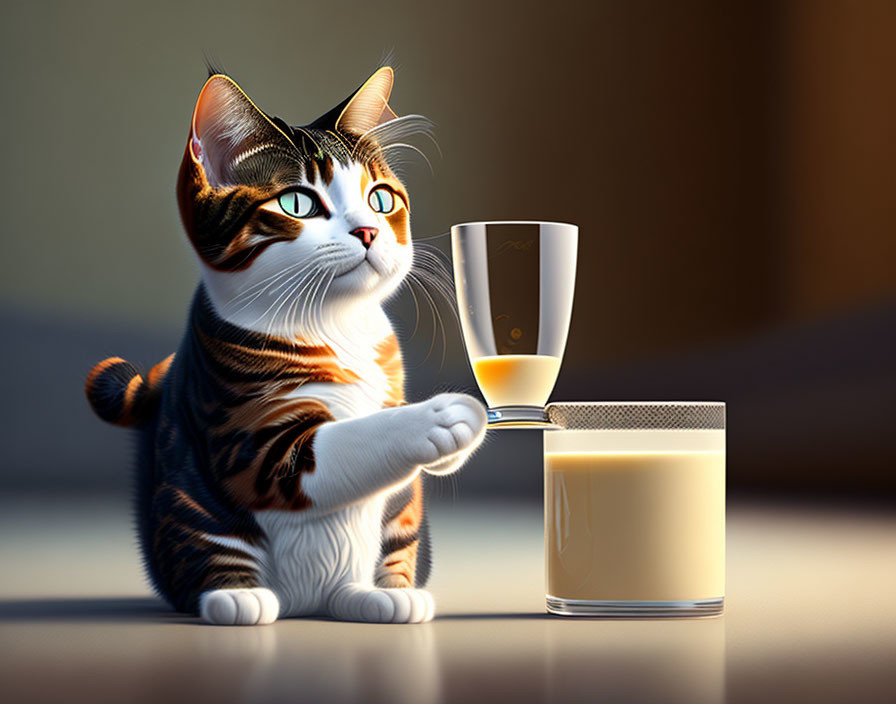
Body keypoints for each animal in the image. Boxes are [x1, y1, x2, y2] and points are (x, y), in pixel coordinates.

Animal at [86, 67, 486, 628]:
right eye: (297, 203)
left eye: (381, 199)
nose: (368, 230)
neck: (334, 326)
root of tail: (305, 601)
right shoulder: (248, 439)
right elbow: (346, 443)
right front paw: (445, 415)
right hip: (190, 508)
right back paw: (237, 597)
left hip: (399, 524)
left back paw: (378, 595)